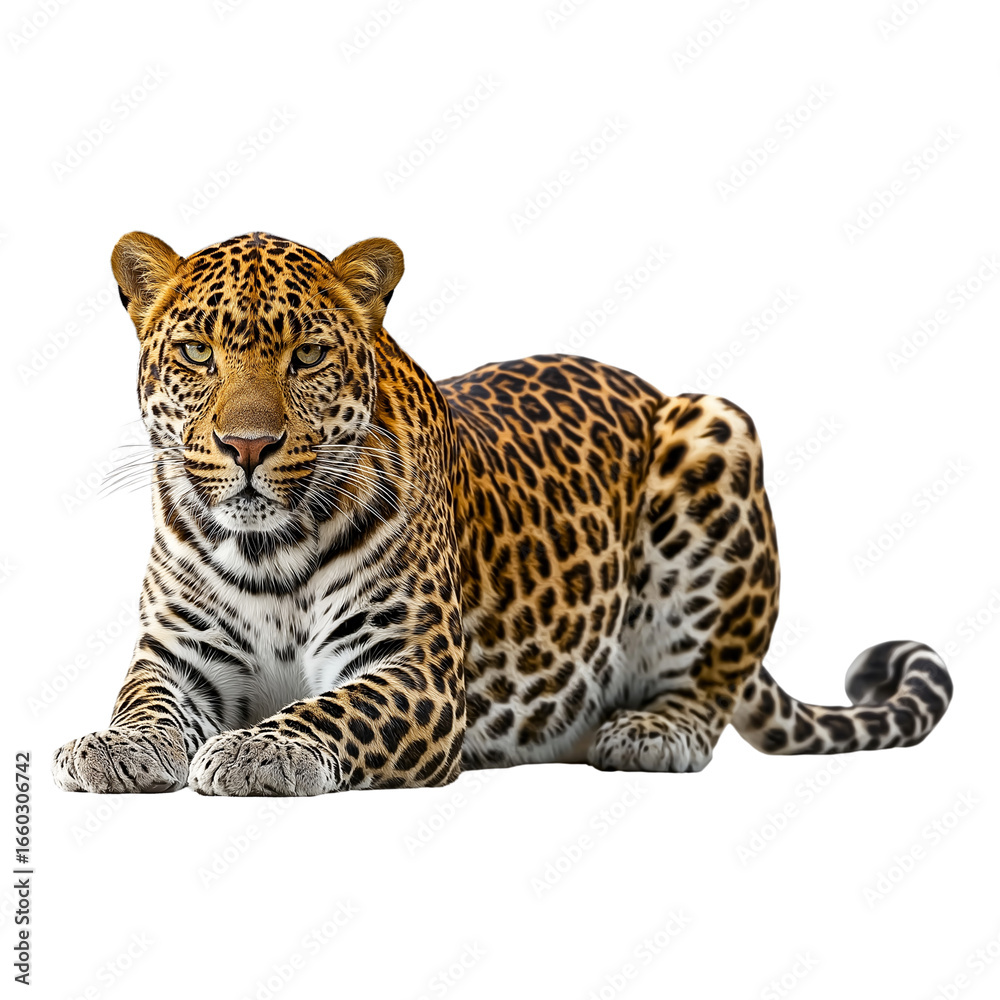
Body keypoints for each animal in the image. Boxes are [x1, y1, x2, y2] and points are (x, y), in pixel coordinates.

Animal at [51, 231, 953, 796]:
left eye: (306, 355)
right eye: (195, 353)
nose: (247, 446)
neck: (266, 546)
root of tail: (650, 386)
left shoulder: (412, 672)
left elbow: (333, 708)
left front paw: (259, 750)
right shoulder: (182, 654)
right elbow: (144, 701)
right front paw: (112, 746)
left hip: (716, 429)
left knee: (712, 681)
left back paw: (651, 730)